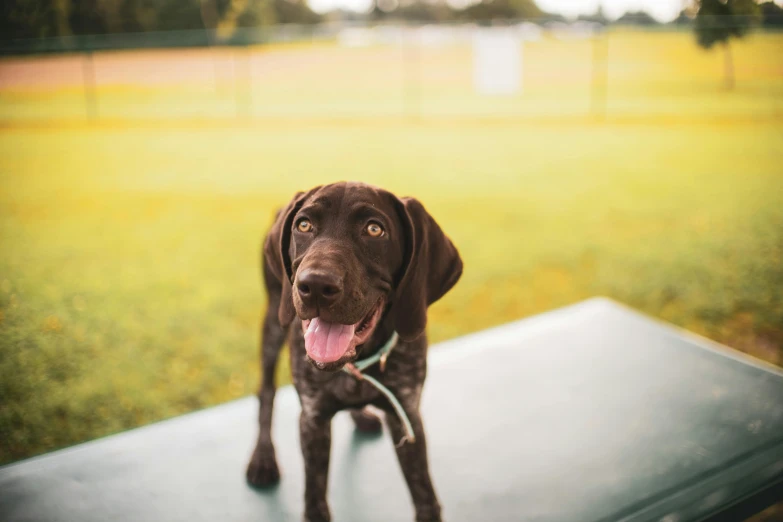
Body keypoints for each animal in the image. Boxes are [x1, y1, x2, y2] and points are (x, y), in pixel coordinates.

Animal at [247, 181, 466, 516]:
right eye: (304, 225)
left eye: (374, 229)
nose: (315, 286)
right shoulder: (312, 421)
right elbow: (315, 502)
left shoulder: (406, 416)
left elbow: (425, 498)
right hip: (273, 319)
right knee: (266, 391)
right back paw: (262, 457)